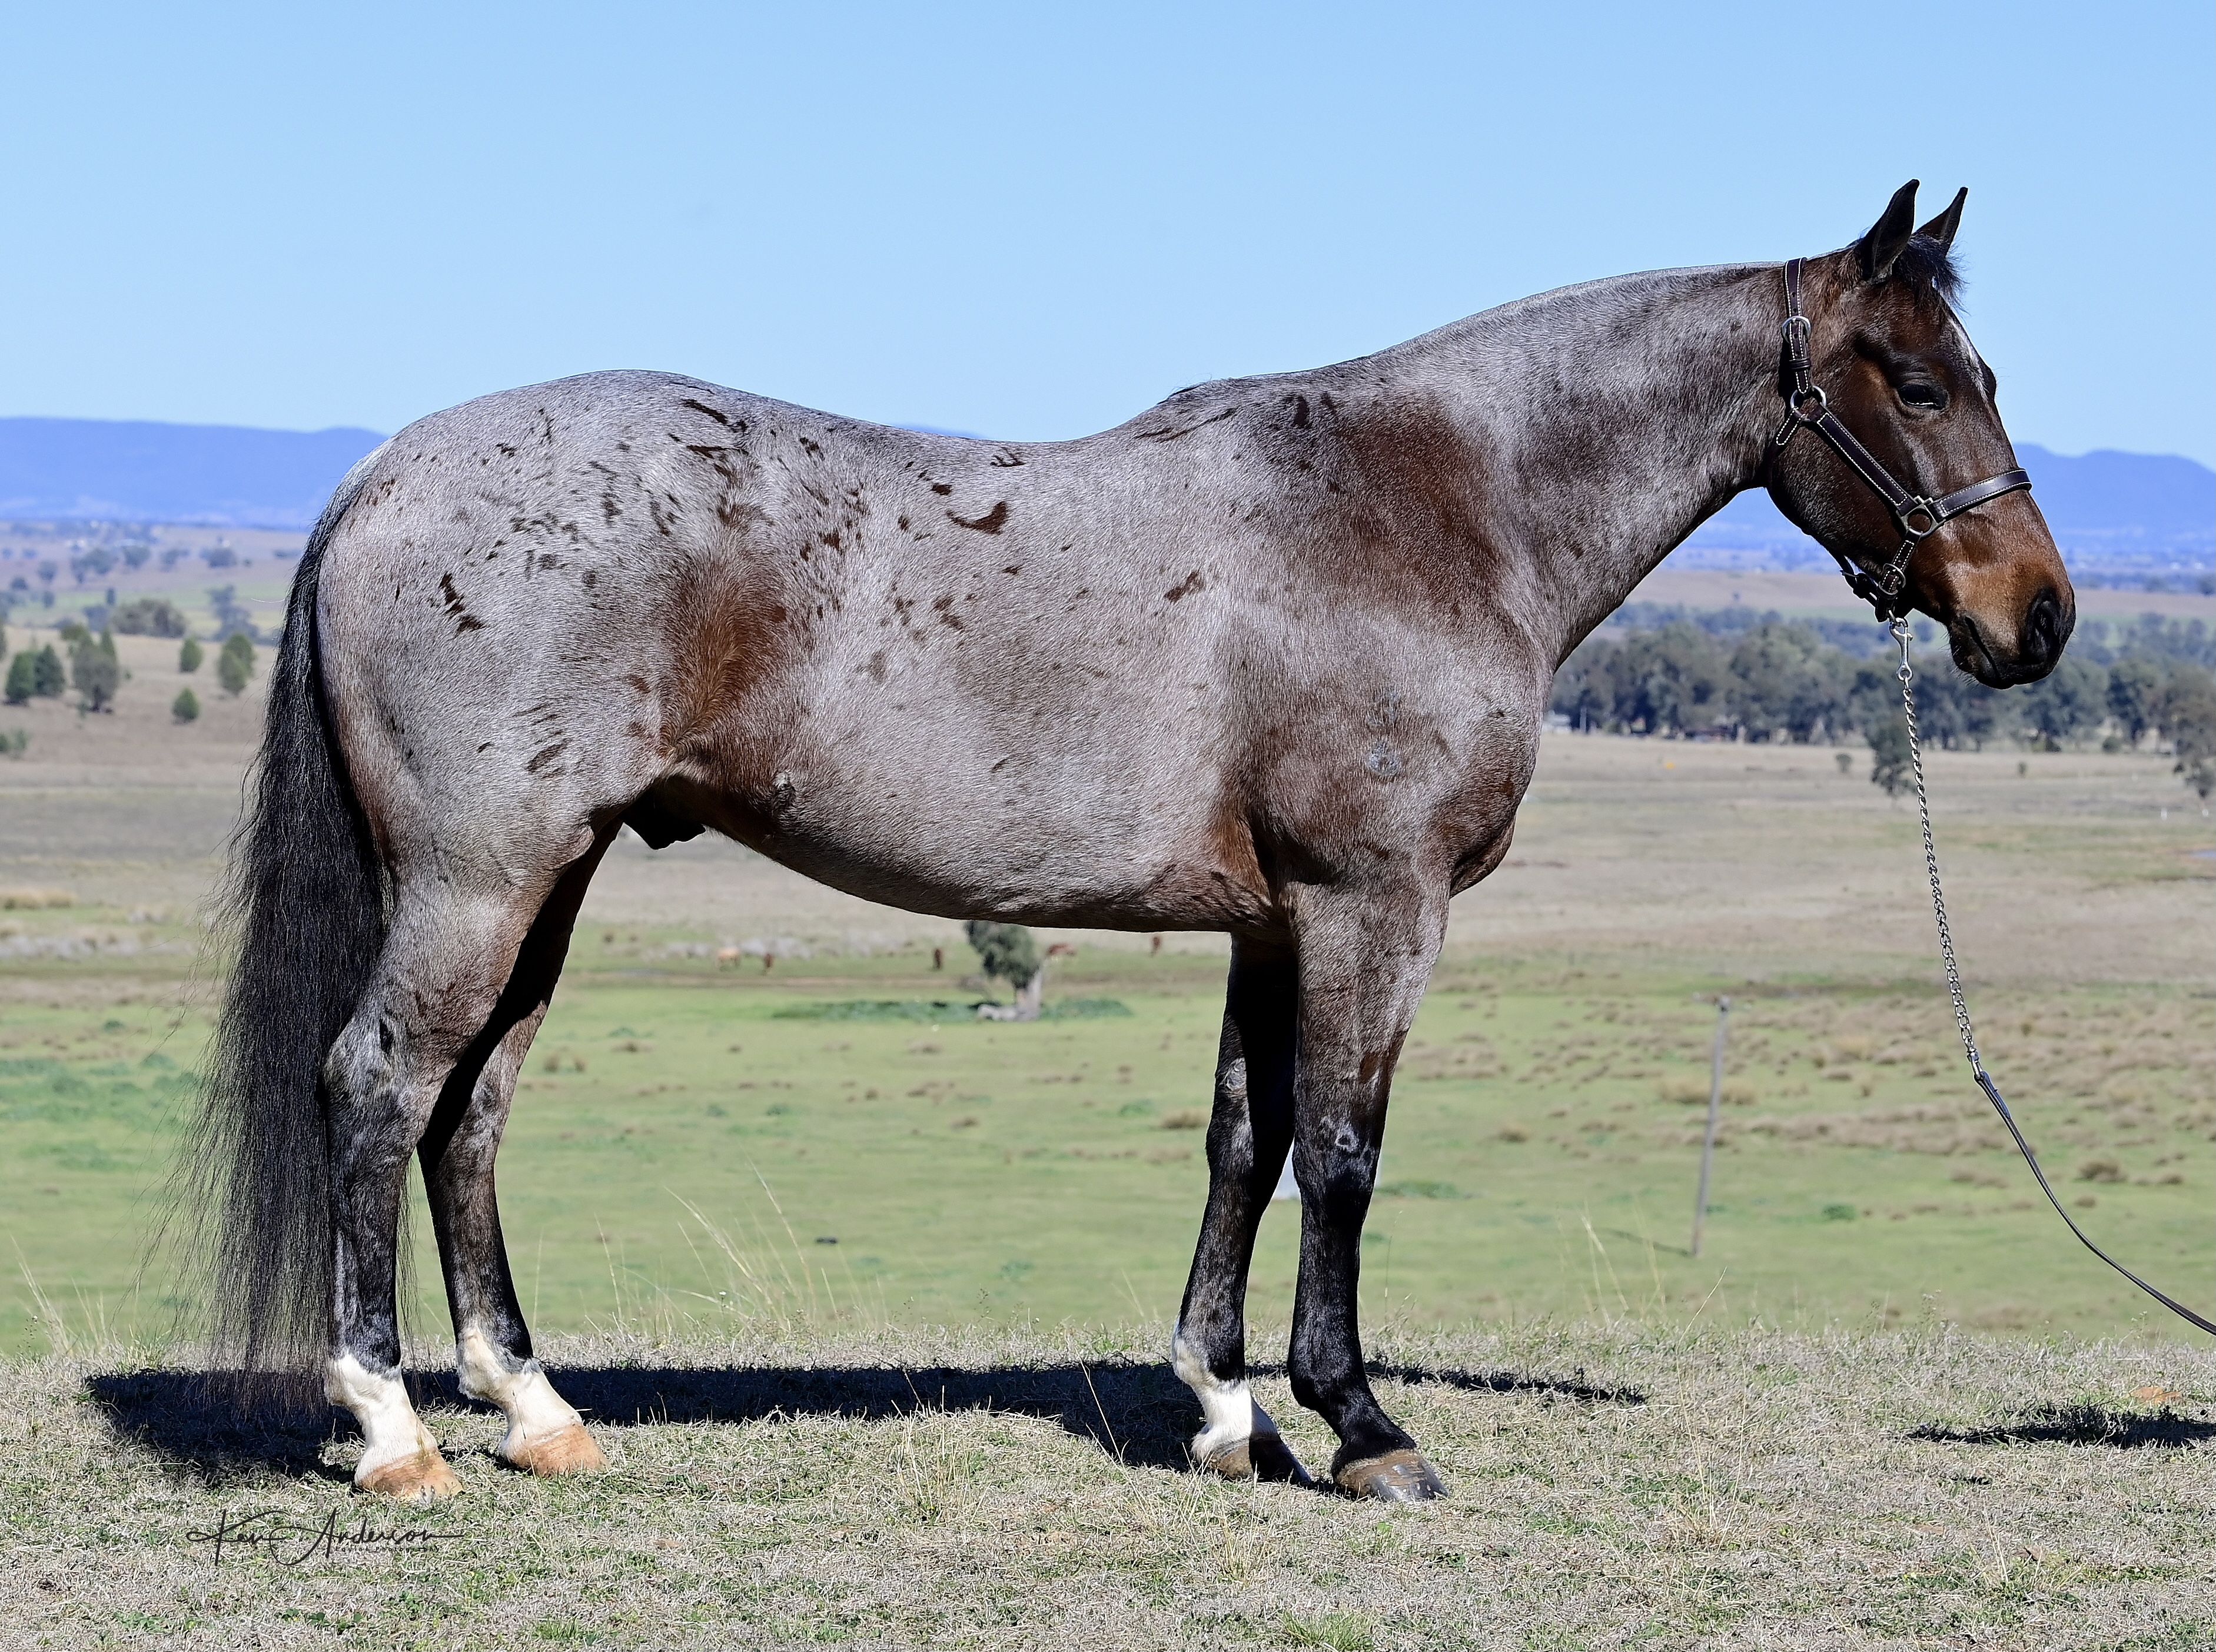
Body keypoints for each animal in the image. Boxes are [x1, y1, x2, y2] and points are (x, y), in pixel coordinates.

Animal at [183, 180, 2071, 1502]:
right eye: (1913, 381)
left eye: (1982, 371)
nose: (2034, 618)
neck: (1428, 507)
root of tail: (379, 477)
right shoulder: (1371, 909)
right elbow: (1343, 1151)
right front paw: (1360, 1424)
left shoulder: (1270, 922)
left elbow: (1243, 1141)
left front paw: (1228, 1409)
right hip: (479, 882)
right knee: (378, 1084)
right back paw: (393, 1429)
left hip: (547, 883)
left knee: (472, 1111)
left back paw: (536, 1409)